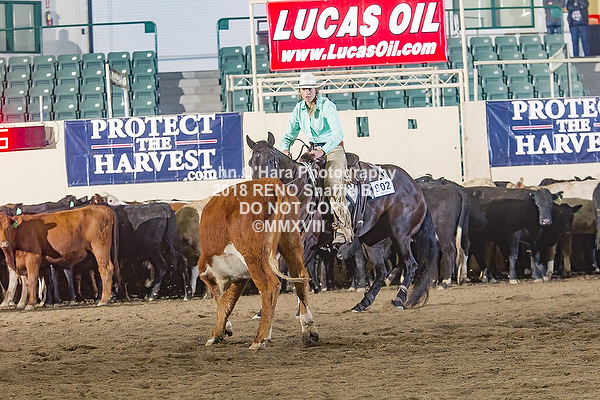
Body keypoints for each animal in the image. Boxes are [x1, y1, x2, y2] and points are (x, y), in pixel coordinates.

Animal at [198, 178, 319, 350]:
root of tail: (273, 183)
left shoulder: (212, 273)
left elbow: (221, 301)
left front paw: (217, 333)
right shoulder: (241, 276)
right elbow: (227, 300)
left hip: (254, 256)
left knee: (270, 285)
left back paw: (259, 340)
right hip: (291, 241)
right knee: (301, 277)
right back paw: (309, 330)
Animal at [246, 133, 439, 311]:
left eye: (271, 160)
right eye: (250, 163)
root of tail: (415, 186)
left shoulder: (307, 241)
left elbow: (293, 273)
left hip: (400, 234)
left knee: (410, 264)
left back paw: (398, 299)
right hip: (371, 240)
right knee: (382, 270)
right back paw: (362, 303)